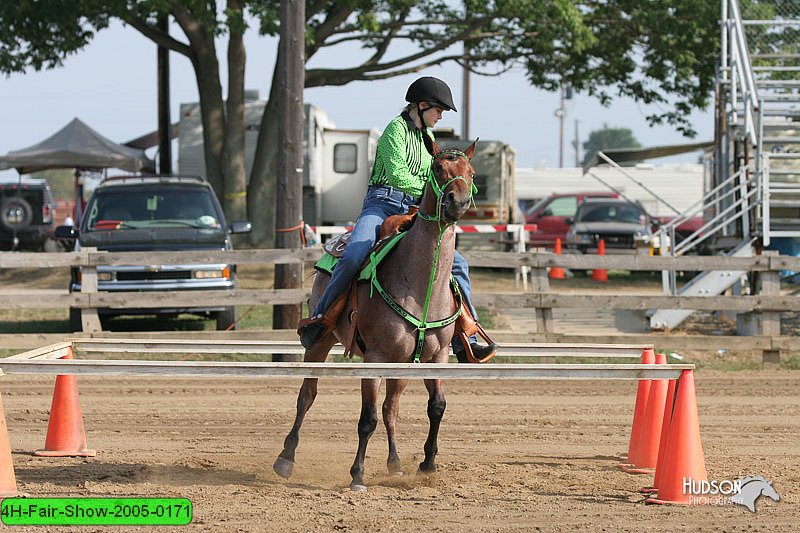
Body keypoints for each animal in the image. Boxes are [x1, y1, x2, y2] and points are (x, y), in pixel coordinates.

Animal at [272, 136, 478, 490]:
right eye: (438, 168)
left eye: (471, 172)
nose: (458, 202)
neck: (419, 286)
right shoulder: (375, 356)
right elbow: (366, 419)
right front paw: (357, 475)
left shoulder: (436, 357)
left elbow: (436, 406)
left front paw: (427, 463)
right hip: (320, 343)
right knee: (307, 395)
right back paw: (286, 458)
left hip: (401, 363)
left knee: (390, 408)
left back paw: (395, 464)